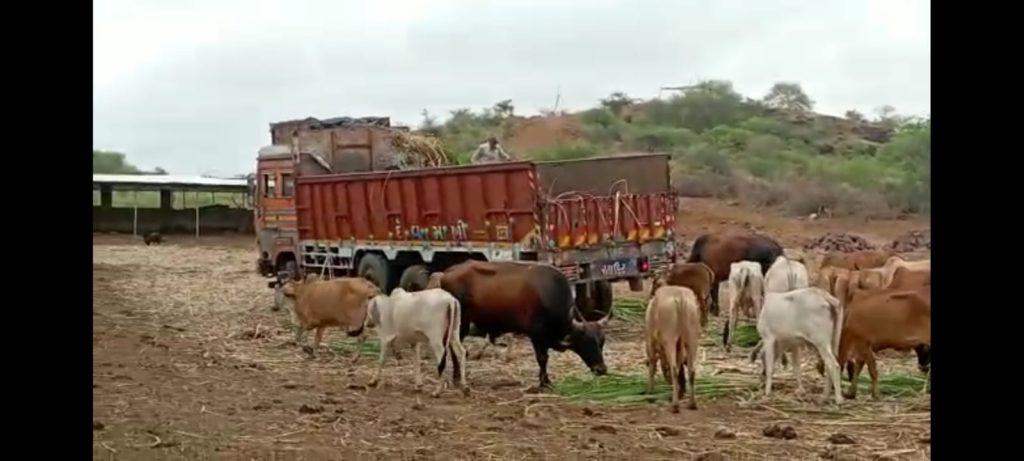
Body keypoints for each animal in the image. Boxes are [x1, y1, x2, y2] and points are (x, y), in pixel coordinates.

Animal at [438, 261, 606, 387]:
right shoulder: (536, 335)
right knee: (455, 348)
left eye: (601, 343)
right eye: (587, 343)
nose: (602, 369)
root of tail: (447, 272)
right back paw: (457, 378)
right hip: (461, 324)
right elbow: (542, 358)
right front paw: (545, 382)